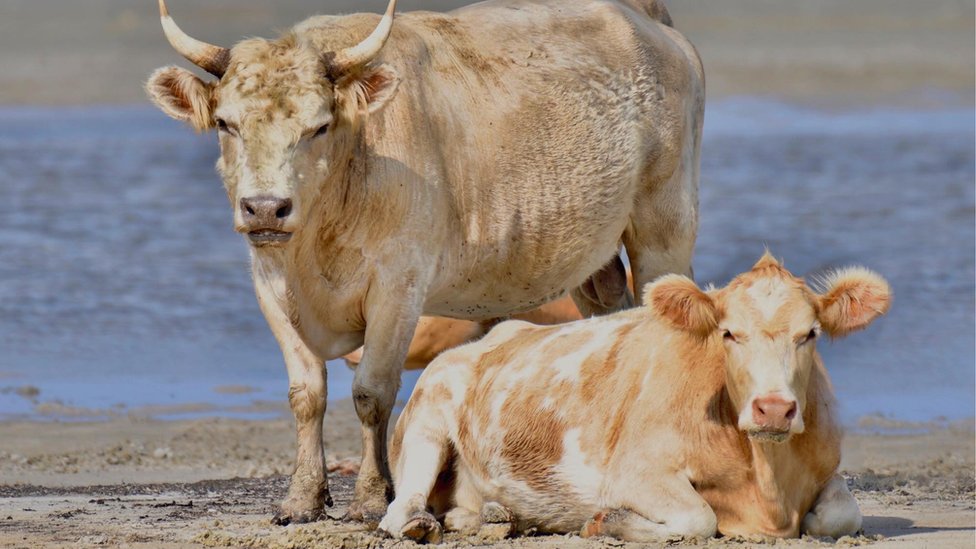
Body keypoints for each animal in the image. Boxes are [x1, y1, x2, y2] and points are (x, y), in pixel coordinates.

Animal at [146, 0, 703, 524]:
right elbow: (306, 394)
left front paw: (372, 498)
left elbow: (371, 393)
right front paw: (302, 499)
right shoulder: (270, 285)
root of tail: (646, 21)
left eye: (319, 126)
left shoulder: (399, 286)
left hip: (664, 228)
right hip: (593, 260)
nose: (265, 207)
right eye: (226, 123)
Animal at [380, 253, 891, 542]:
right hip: (425, 421)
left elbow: (841, 515)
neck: (767, 487)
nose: (774, 409)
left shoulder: (829, 470)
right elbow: (699, 519)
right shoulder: (633, 472)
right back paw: (421, 524)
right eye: (729, 333)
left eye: (810, 333)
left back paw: (496, 517)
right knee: (400, 507)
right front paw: (608, 522)